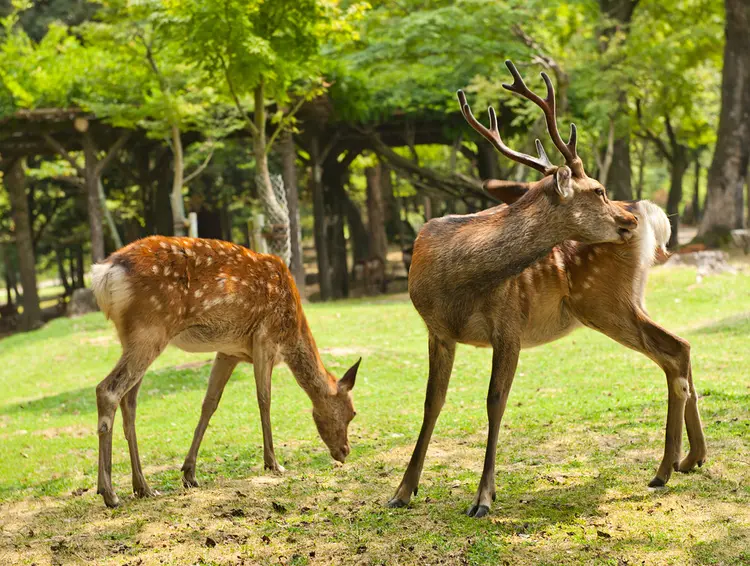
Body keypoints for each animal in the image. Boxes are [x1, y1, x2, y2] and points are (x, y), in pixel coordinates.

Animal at [91, 240, 362, 510]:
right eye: (352, 413)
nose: (344, 451)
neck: (291, 333)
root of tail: (104, 273)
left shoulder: (229, 351)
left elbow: (209, 403)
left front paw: (189, 473)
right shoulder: (265, 338)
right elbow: (264, 399)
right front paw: (273, 463)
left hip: (132, 337)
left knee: (129, 402)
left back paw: (143, 487)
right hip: (150, 329)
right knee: (107, 390)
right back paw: (109, 493)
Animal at [388, 61, 648, 520]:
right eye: (599, 189)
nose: (629, 218)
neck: (456, 286)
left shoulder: (509, 324)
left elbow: (495, 402)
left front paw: (483, 498)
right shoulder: (437, 331)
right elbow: (432, 402)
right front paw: (402, 490)